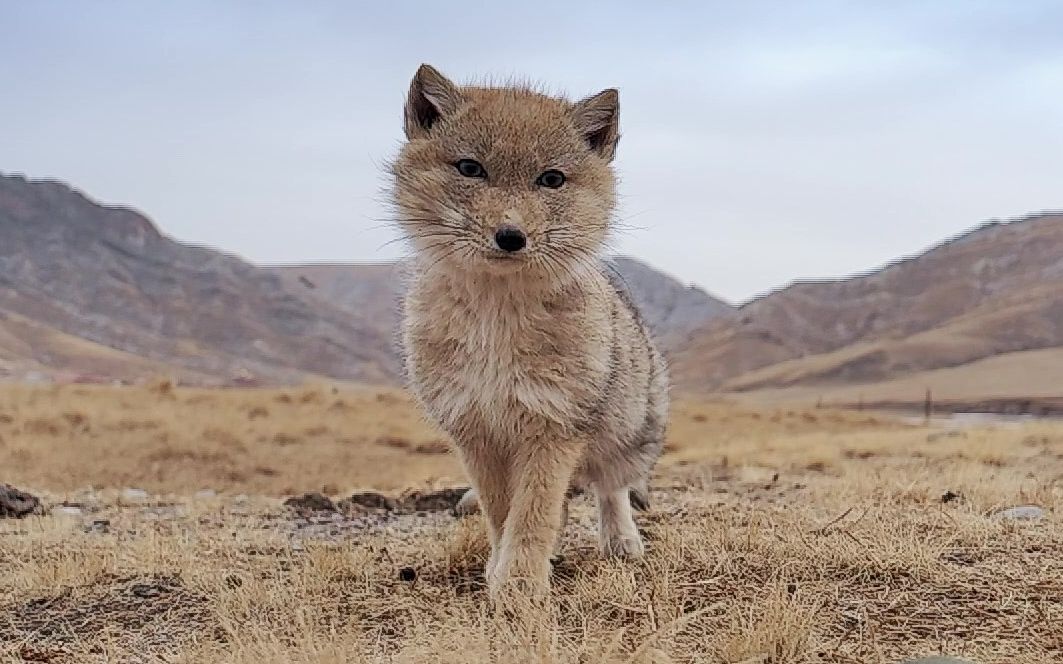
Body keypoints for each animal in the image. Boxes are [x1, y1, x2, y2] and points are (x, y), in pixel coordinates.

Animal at [395, 64, 667, 599]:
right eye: (470, 169)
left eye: (551, 179)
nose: (511, 236)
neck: (495, 327)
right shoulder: (476, 432)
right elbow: (504, 513)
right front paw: (503, 570)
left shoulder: (553, 426)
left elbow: (534, 513)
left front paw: (521, 583)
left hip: (622, 433)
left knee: (611, 486)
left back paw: (621, 539)